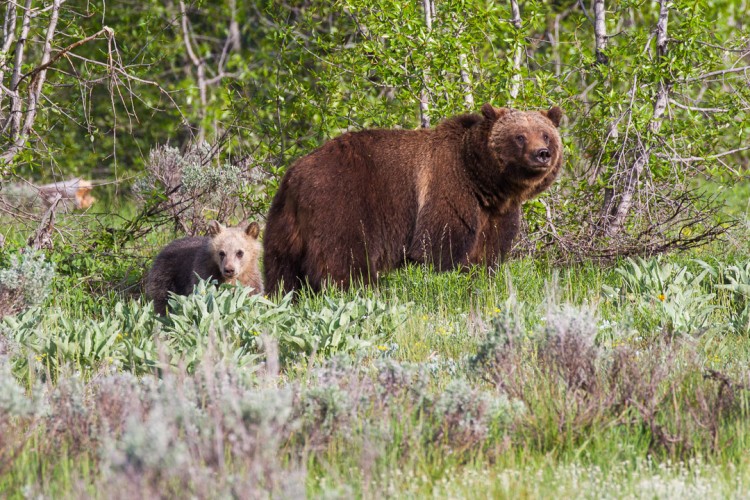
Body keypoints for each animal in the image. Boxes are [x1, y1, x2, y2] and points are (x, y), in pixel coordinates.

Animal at [264, 103, 564, 294]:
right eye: (520, 136)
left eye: (546, 134)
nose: (542, 153)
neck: (484, 181)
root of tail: (295, 175)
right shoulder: (448, 189)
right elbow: (438, 248)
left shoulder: (496, 214)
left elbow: (488, 255)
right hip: (343, 204)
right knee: (344, 261)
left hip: (283, 223)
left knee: (281, 269)